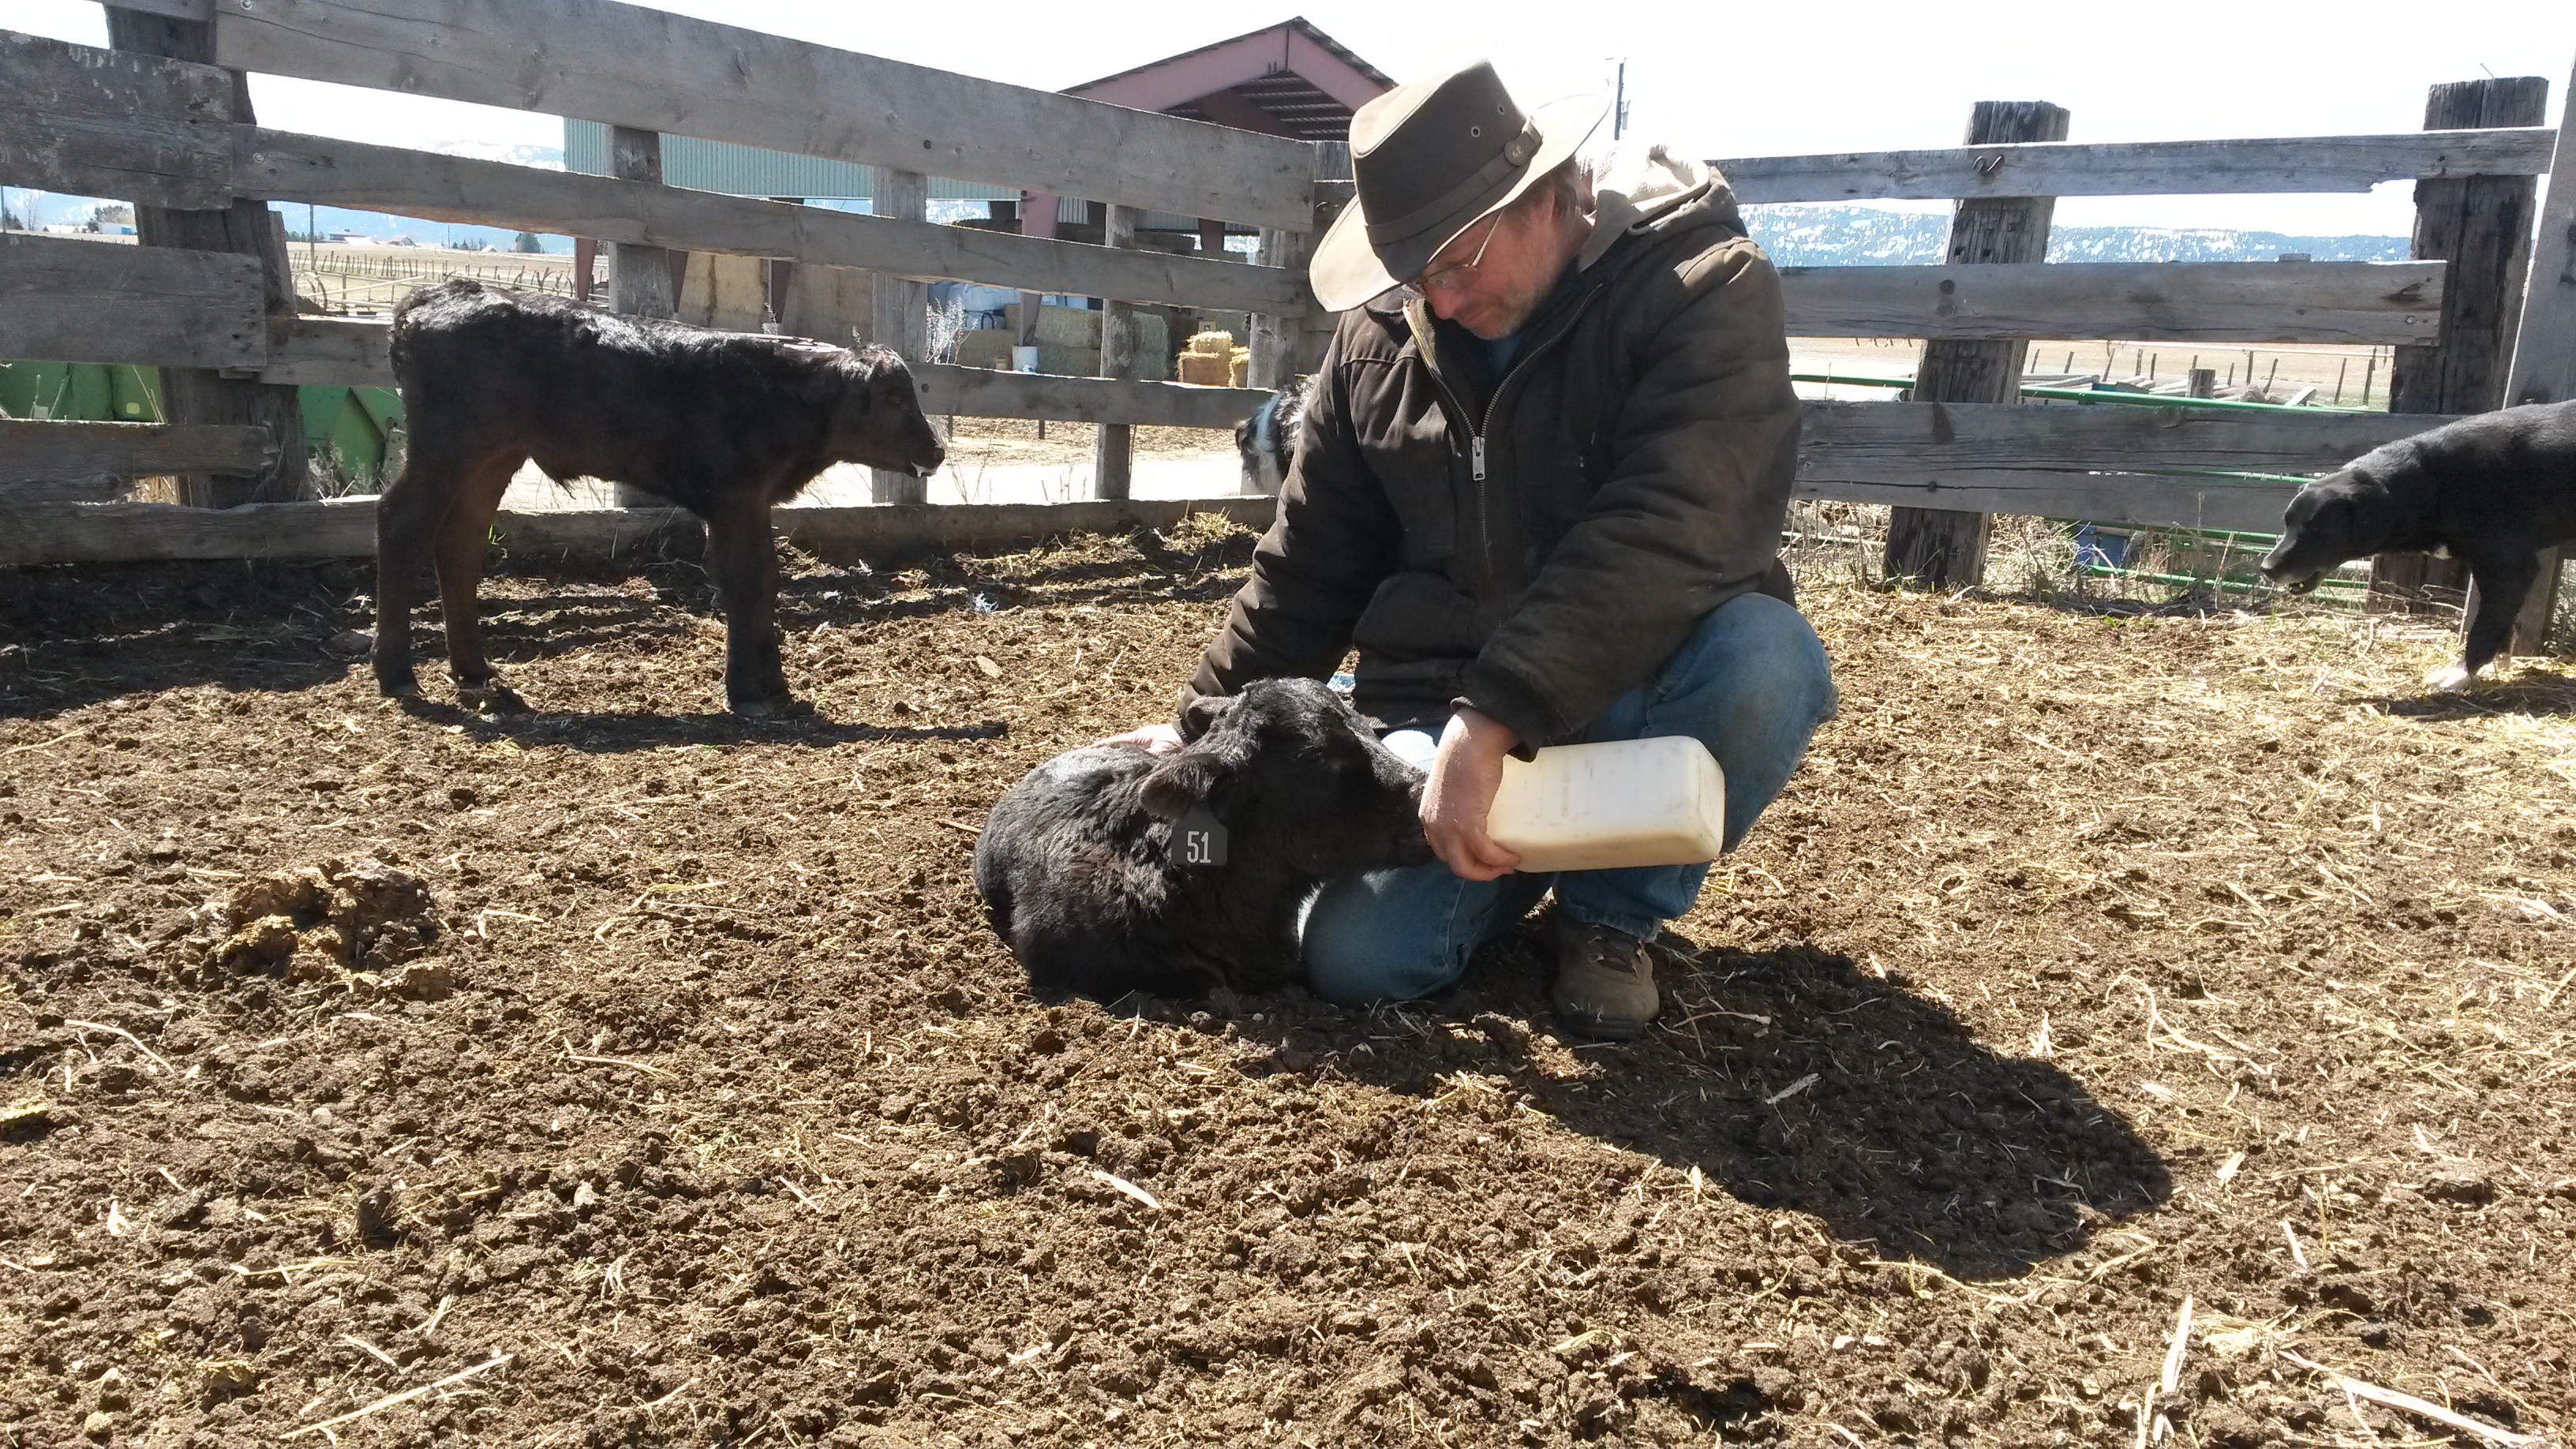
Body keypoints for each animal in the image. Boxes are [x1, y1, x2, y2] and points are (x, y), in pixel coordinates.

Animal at [373, 275, 948, 711]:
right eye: (895, 397)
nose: (938, 451)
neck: (776, 391)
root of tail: (433, 297)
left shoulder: (754, 500)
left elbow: (767, 578)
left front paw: (776, 686)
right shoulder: (733, 497)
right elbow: (743, 580)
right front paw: (746, 691)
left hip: (494, 458)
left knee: (460, 545)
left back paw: (475, 671)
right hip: (447, 448)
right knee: (400, 524)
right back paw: (397, 672)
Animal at [2267, 394, 2576, 685]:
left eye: (2318, 530)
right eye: (2286, 522)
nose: (2267, 568)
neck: (2435, 481)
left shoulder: (2509, 567)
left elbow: (2486, 625)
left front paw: (2462, 673)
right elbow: (2503, 622)